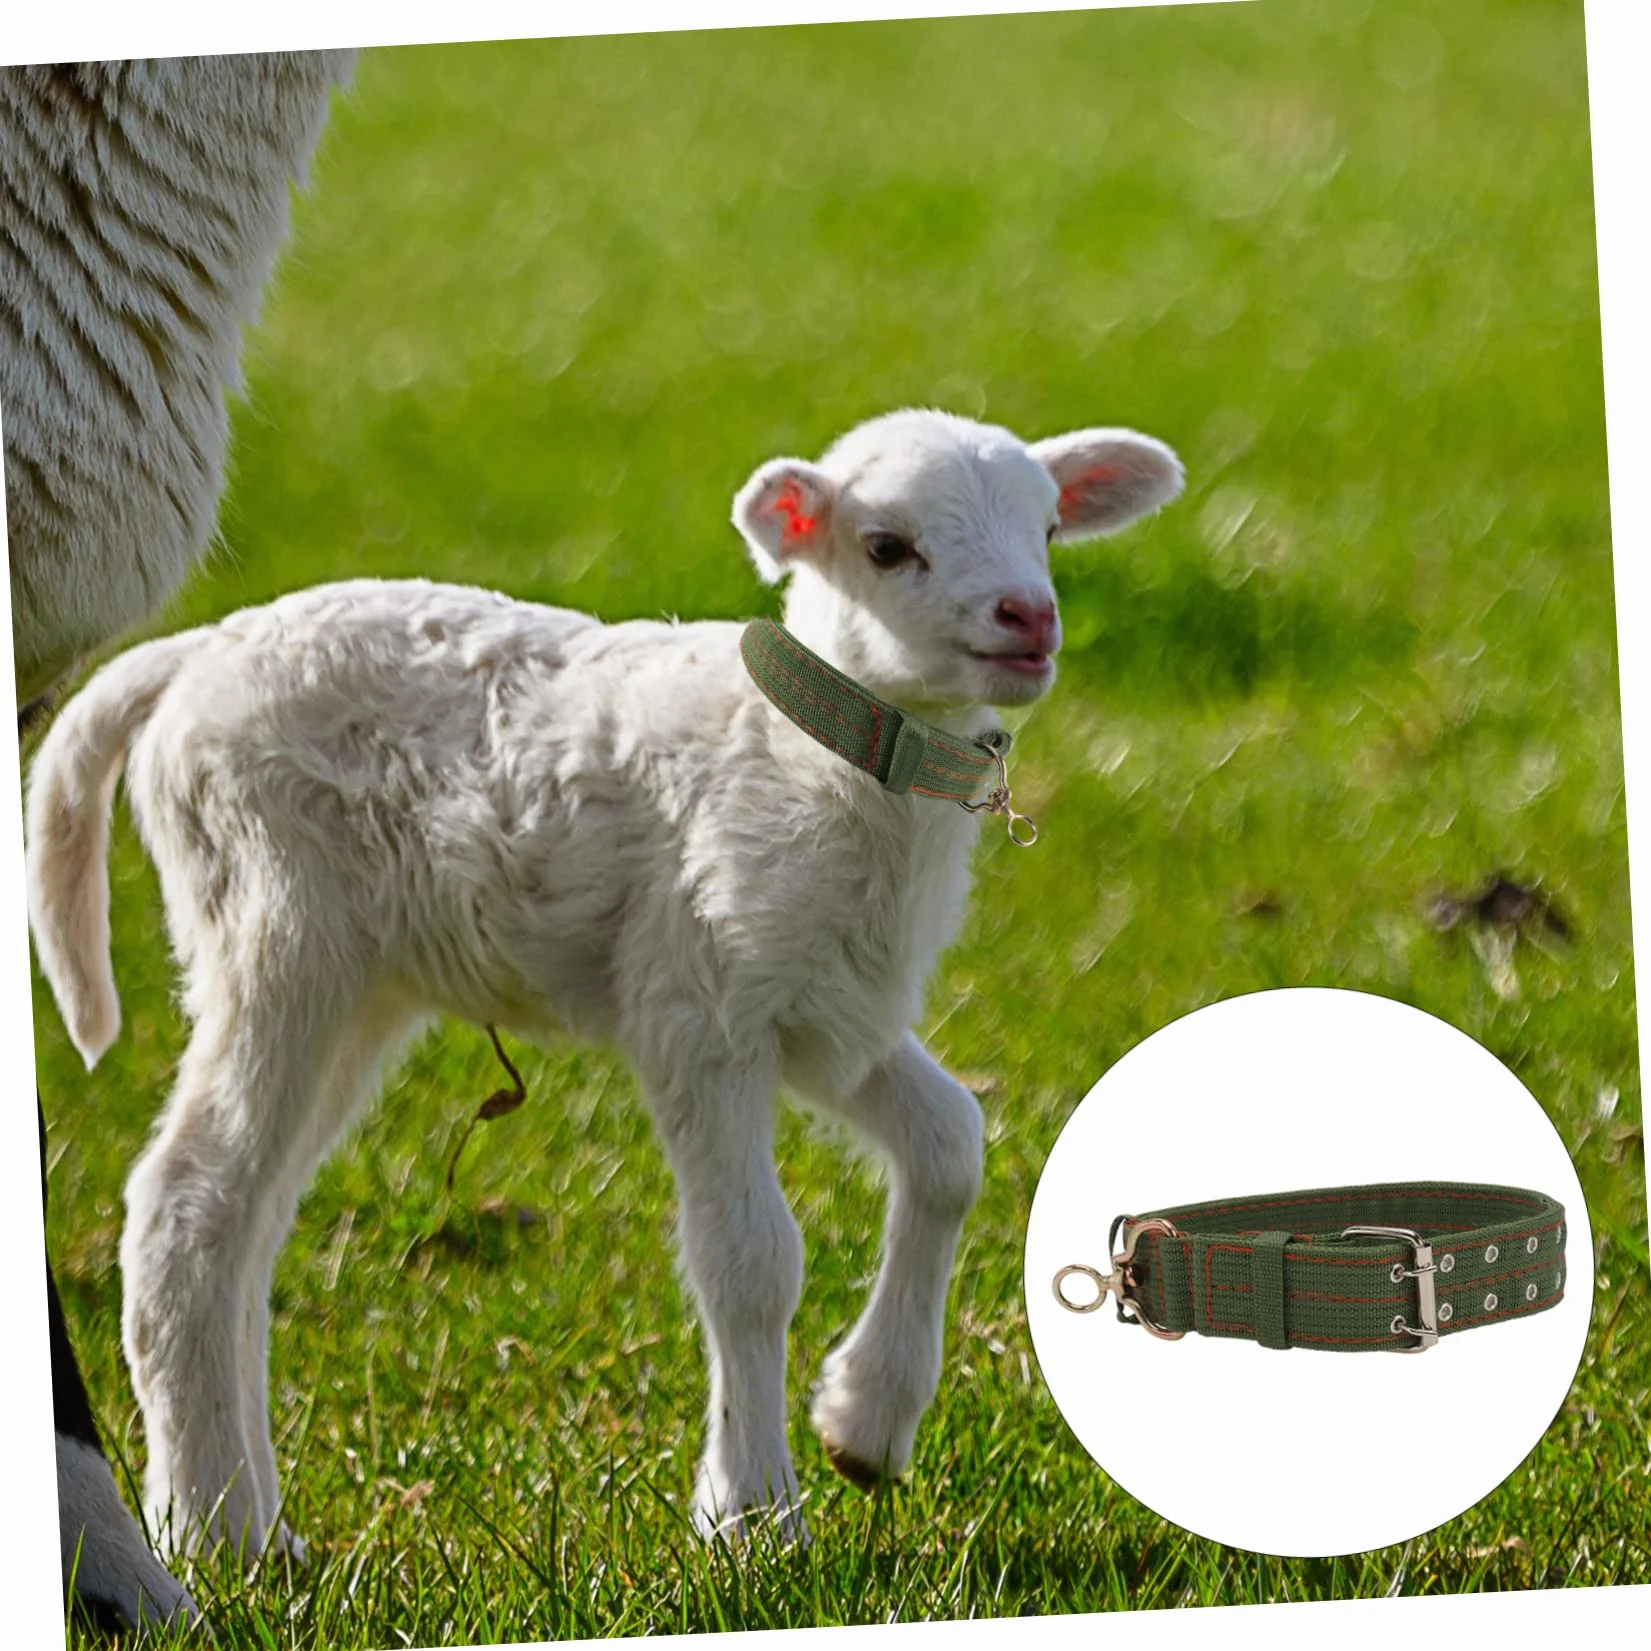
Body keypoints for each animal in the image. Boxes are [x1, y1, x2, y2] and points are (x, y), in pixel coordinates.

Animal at [25, 408, 1183, 1557]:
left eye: (1047, 526)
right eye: (887, 546)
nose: (1028, 617)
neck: (811, 761)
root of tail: (191, 656)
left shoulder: (825, 1006)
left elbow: (949, 1144)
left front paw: (865, 1424)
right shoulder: (698, 1001)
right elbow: (750, 1259)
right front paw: (751, 1516)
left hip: (360, 981)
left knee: (250, 1221)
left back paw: (254, 1521)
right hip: (272, 926)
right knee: (185, 1198)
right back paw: (212, 1531)